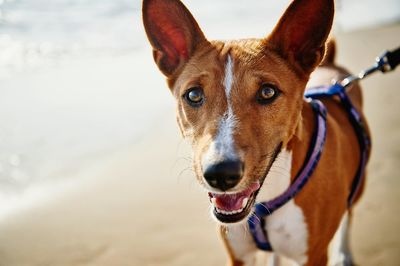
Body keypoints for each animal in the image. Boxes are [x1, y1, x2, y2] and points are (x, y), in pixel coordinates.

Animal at [142, 0, 370, 264]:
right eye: (194, 95)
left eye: (267, 92)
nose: (220, 174)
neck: (265, 202)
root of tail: (332, 67)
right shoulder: (239, 255)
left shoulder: (313, 256)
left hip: (358, 185)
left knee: (349, 214)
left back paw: (343, 254)